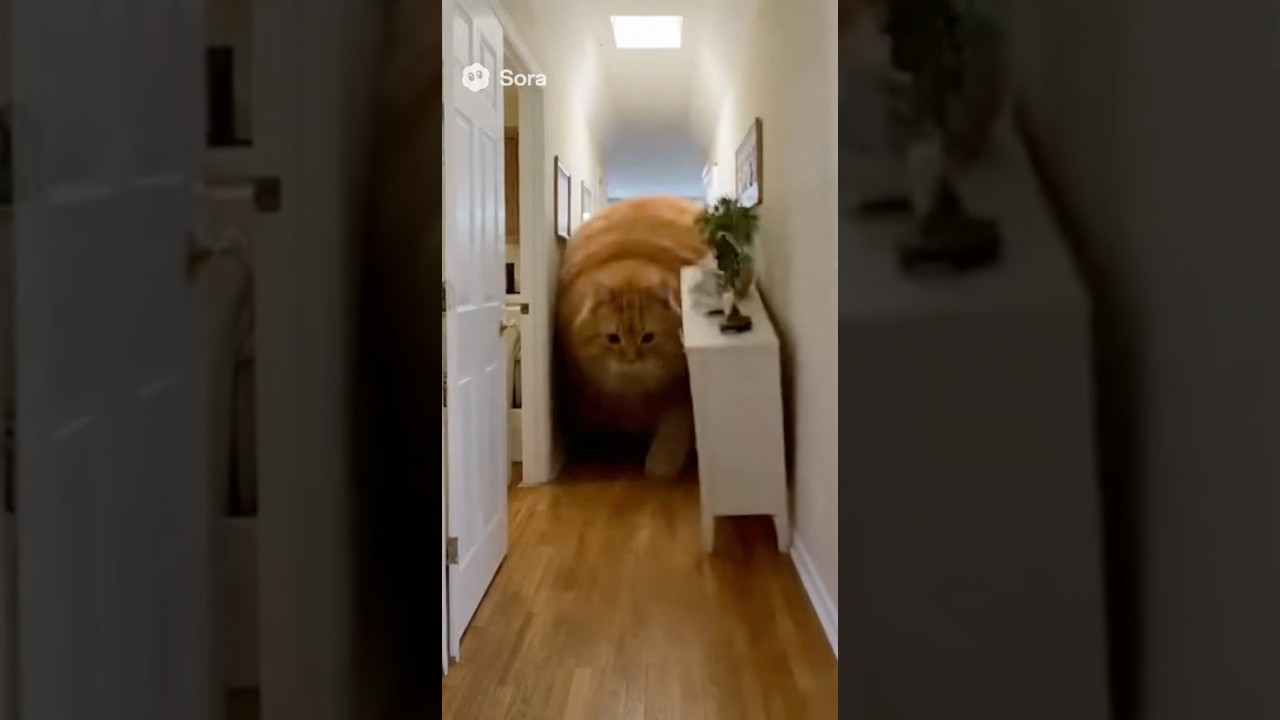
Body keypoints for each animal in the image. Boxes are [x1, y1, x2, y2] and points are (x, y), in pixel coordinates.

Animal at [556, 197, 711, 478]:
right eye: (613, 339)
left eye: (648, 338)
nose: (631, 359)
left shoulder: (681, 394)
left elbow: (673, 431)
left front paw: (661, 467)